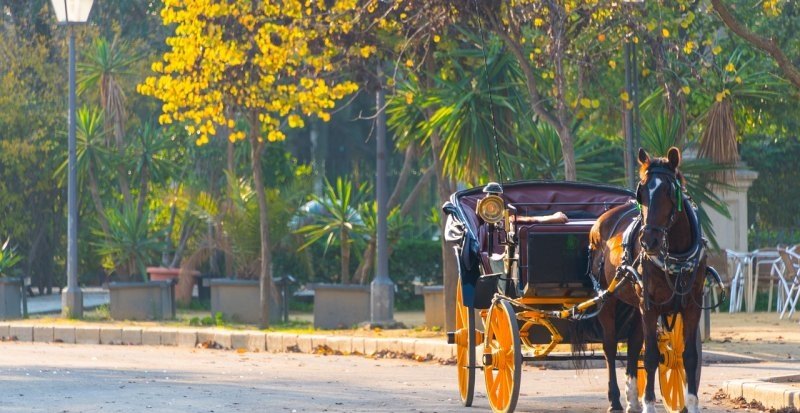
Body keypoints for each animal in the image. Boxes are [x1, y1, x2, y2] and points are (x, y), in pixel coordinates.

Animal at [588, 146, 708, 410]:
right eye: (641, 193)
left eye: (668, 191)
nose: (647, 241)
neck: (676, 255)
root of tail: (601, 220)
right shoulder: (650, 305)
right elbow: (652, 355)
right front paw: (650, 404)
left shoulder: (692, 306)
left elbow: (689, 356)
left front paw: (691, 404)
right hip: (608, 299)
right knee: (610, 347)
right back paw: (615, 400)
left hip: (635, 304)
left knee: (633, 347)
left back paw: (632, 399)